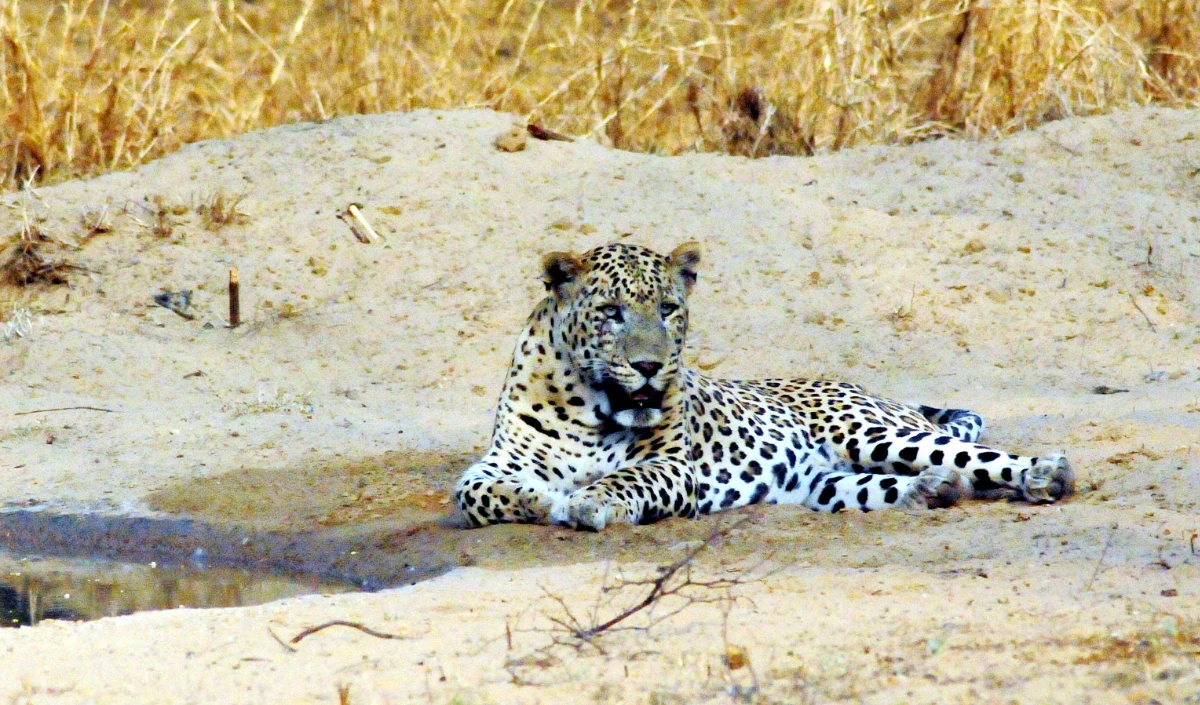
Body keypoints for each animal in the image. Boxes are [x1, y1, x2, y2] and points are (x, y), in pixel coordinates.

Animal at [455, 242, 1074, 530]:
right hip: (824, 482)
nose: (651, 366)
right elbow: (481, 493)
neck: (589, 404)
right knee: (888, 484)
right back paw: (930, 490)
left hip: (873, 432)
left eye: (669, 310)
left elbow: (625, 478)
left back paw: (1045, 473)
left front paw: (586, 501)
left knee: (978, 455)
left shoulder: (672, 465)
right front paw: (549, 499)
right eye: (610, 313)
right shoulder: (495, 463)